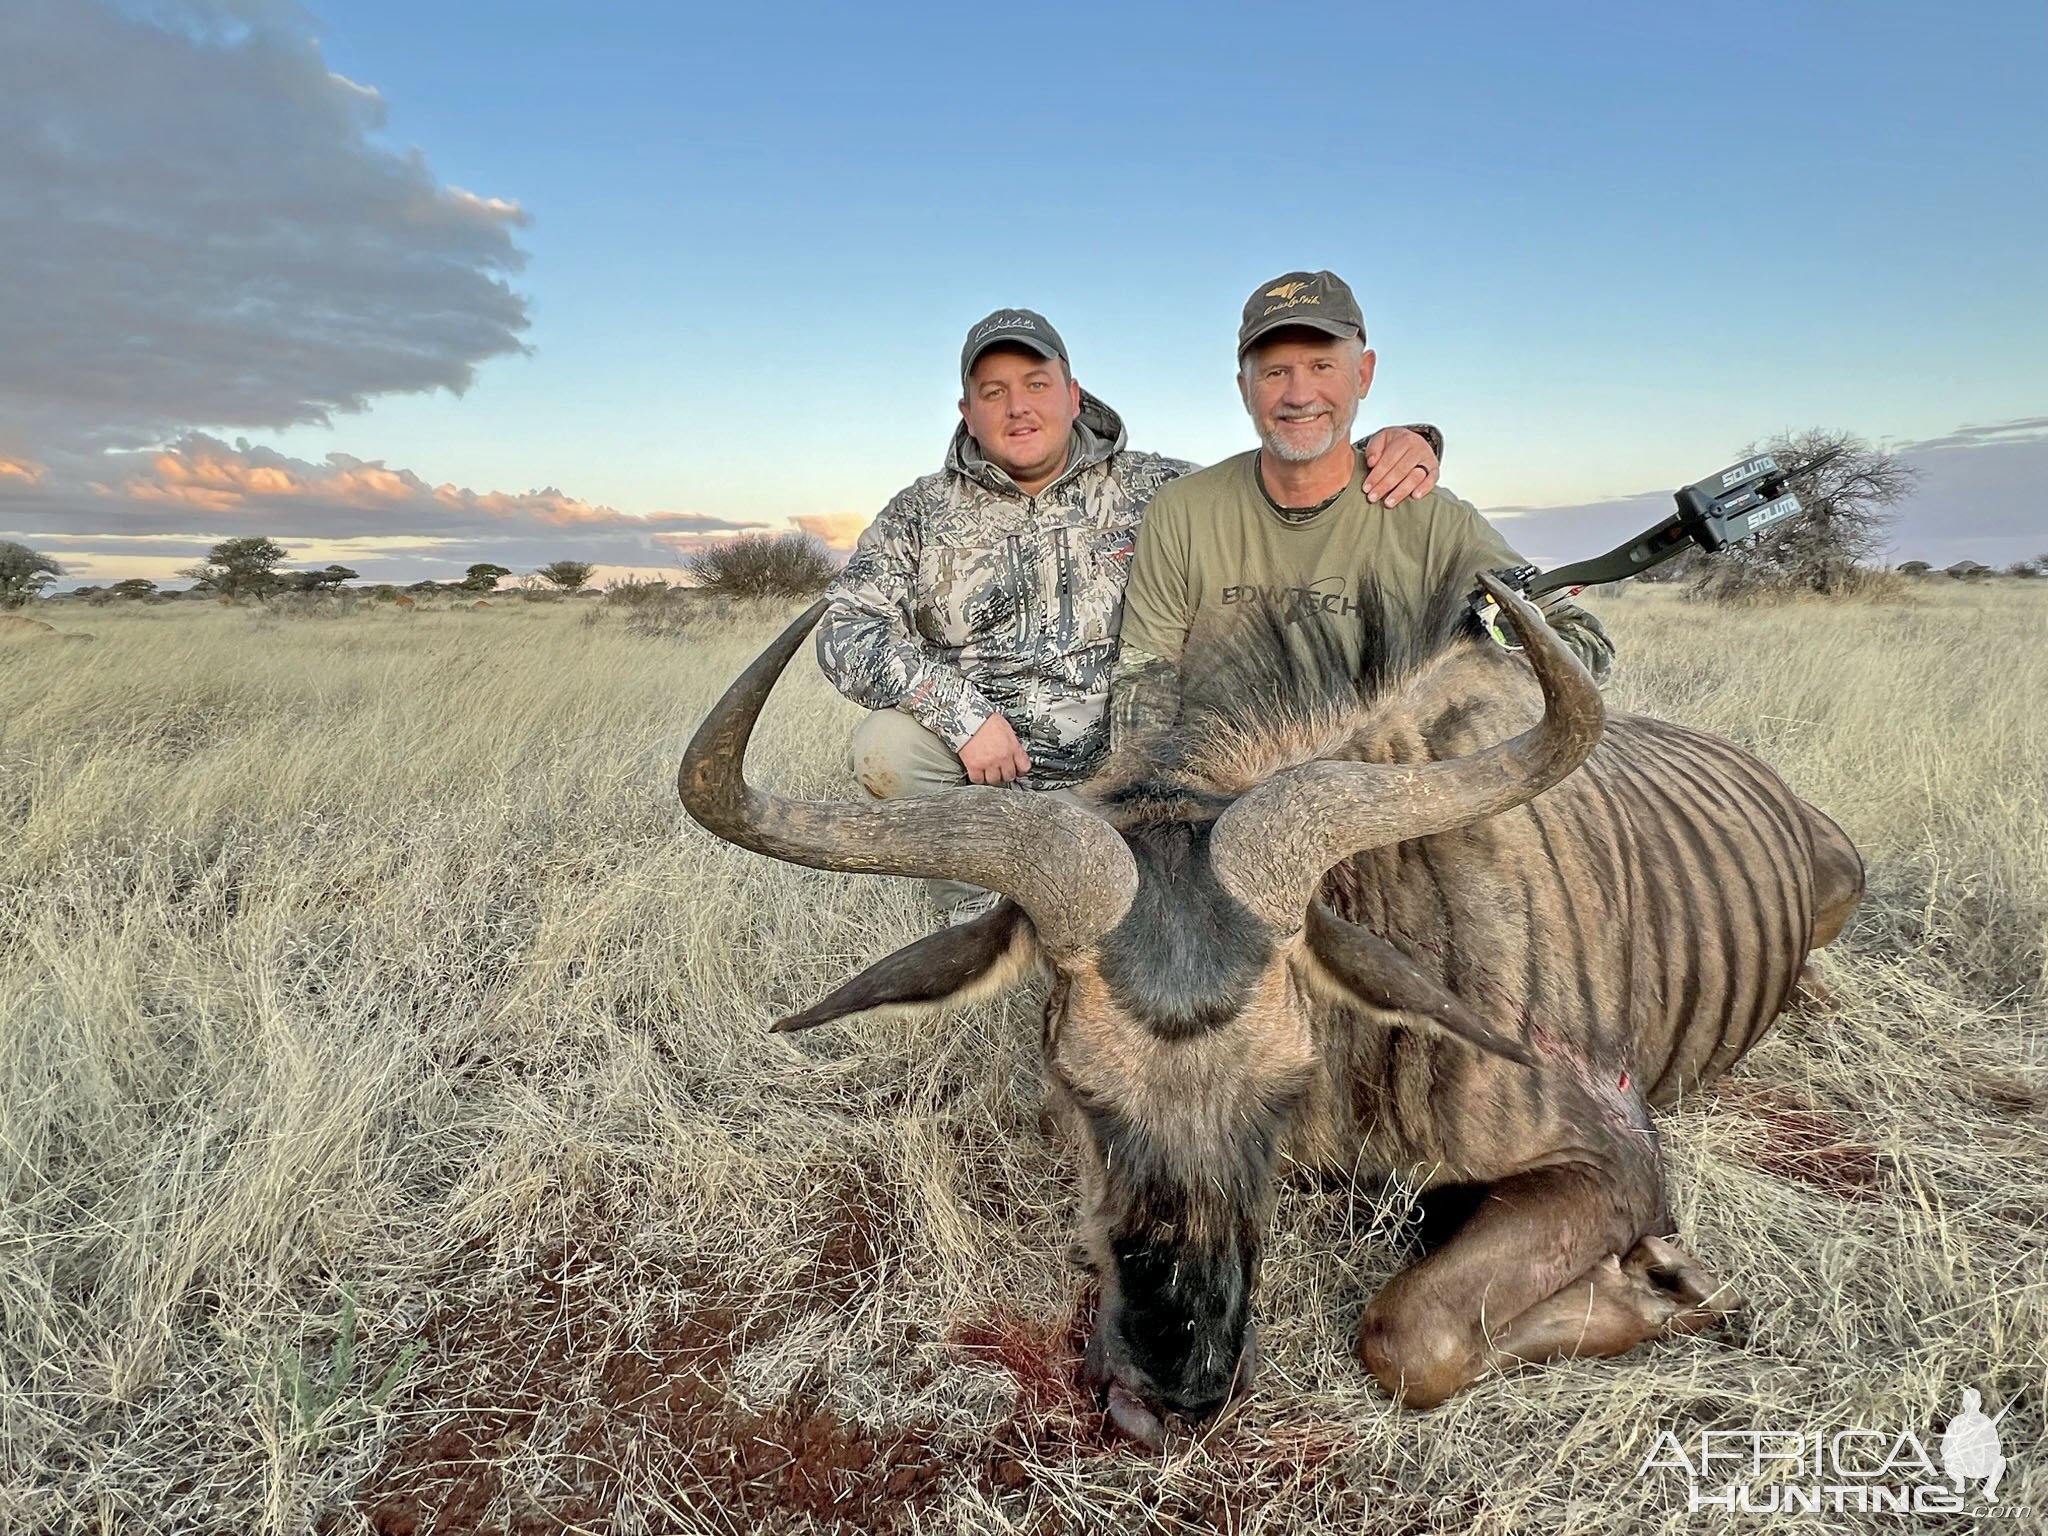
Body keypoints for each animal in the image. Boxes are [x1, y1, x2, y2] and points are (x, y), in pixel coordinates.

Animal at [679, 573, 1867, 1449]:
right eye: (1072, 1087)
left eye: (1288, 1083)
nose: (1175, 1399)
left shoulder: (1612, 1156)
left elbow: (1407, 1335)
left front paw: (1672, 1287)